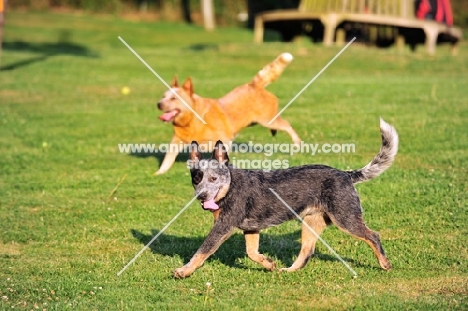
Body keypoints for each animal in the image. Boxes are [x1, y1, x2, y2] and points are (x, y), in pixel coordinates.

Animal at [155, 53, 302, 176]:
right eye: (163, 97)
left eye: (173, 98)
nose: (159, 104)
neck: (192, 120)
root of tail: (254, 84)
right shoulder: (177, 141)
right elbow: (168, 159)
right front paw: (159, 173)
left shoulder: (225, 139)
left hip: (267, 119)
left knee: (287, 125)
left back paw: (297, 144)